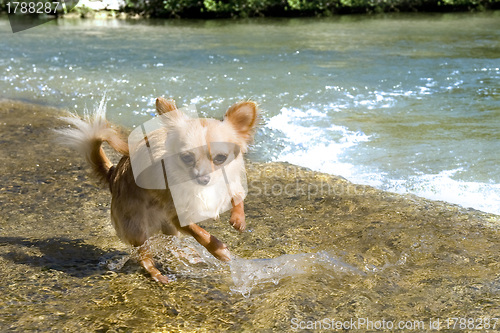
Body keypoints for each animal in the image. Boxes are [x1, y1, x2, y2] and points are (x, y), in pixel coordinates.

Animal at [58, 97, 258, 282]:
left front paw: (238, 220)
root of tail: (113, 174)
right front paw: (220, 251)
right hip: (137, 227)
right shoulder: (177, 215)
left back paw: (185, 254)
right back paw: (156, 273)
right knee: (144, 256)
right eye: (186, 157)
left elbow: (236, 198)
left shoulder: (228, 184)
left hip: (165, 226)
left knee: (171, 243)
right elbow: (201, 233)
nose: (203, 178)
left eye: (220, 158)